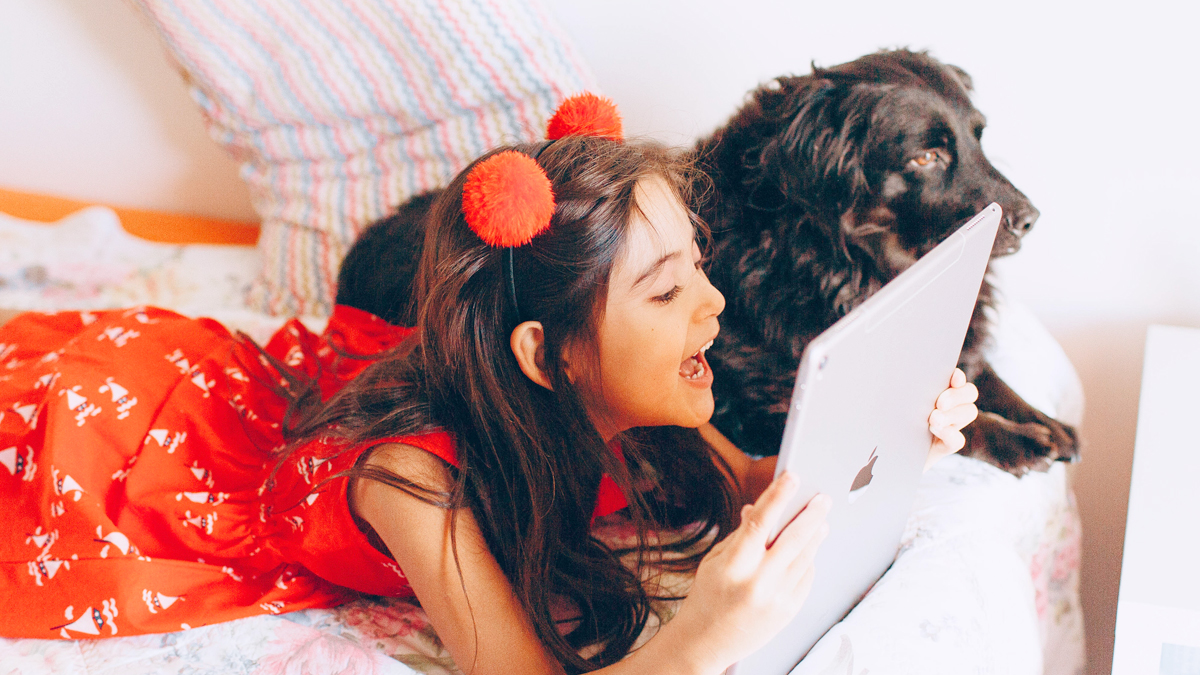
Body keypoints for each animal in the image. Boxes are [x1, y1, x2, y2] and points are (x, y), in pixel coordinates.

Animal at [338, 49, 1080, 473]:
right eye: (925, 156)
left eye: (978, 138)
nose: (1030, 218)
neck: (835, 259)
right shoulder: (761, 409)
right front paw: (1013, 438)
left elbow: (980, 371)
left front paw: (1038, 417)